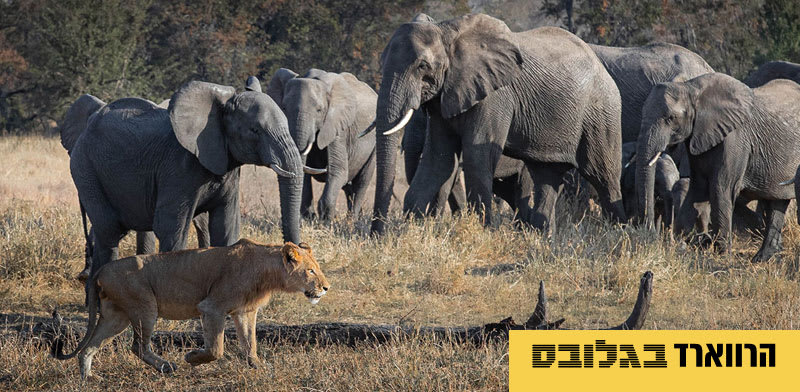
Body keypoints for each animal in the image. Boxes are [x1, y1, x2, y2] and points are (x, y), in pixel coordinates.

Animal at [54, 239, 328, 380]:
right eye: (310, 271)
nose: (326, 287)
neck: (267, 272)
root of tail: (100, 269)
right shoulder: (212, 307)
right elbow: (216, 349)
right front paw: (192, 358)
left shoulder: (245, 312)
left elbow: (250, 344)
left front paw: (259, 368)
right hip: (144, 307)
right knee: (138, 346)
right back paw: (167, 367)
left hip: (116, 317)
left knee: (89, 347)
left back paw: (89, 379)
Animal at [70, 79, 306, 278]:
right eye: (255, 130)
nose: (299, 250)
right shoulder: (178, 167)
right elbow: (172, 230)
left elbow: (225, 227)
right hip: (85, 168)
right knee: (109, 233)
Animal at [268, 68, 378, 219]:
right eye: (283, 107)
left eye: (319, 110)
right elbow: (304, 174)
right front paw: (308, 218)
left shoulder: (338, 129)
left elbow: (338, 170)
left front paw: (325, 221)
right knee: (349, 187)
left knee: (361, 182)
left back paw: (352, 220)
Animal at [368, 13, 624, 234]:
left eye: (422, 66)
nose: (376, 235)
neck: (448, 32)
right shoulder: (446, 97)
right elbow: (439, 159)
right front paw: (413, 232)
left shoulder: (496, 95)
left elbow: (476, 157)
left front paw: (482, 233)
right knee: (547, 176)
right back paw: (540, 239)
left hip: (602, 114)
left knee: (604, 177)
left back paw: (618, 235)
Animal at [636, 73, 800, 264]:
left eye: (670, 118)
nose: (651, 235)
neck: (691, 88)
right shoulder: (698, 138)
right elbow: (698, 189)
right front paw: (682, 244)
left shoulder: (735, 139)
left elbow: (721, 189)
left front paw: (722, 256)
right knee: (777, 202)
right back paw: (762, 259)